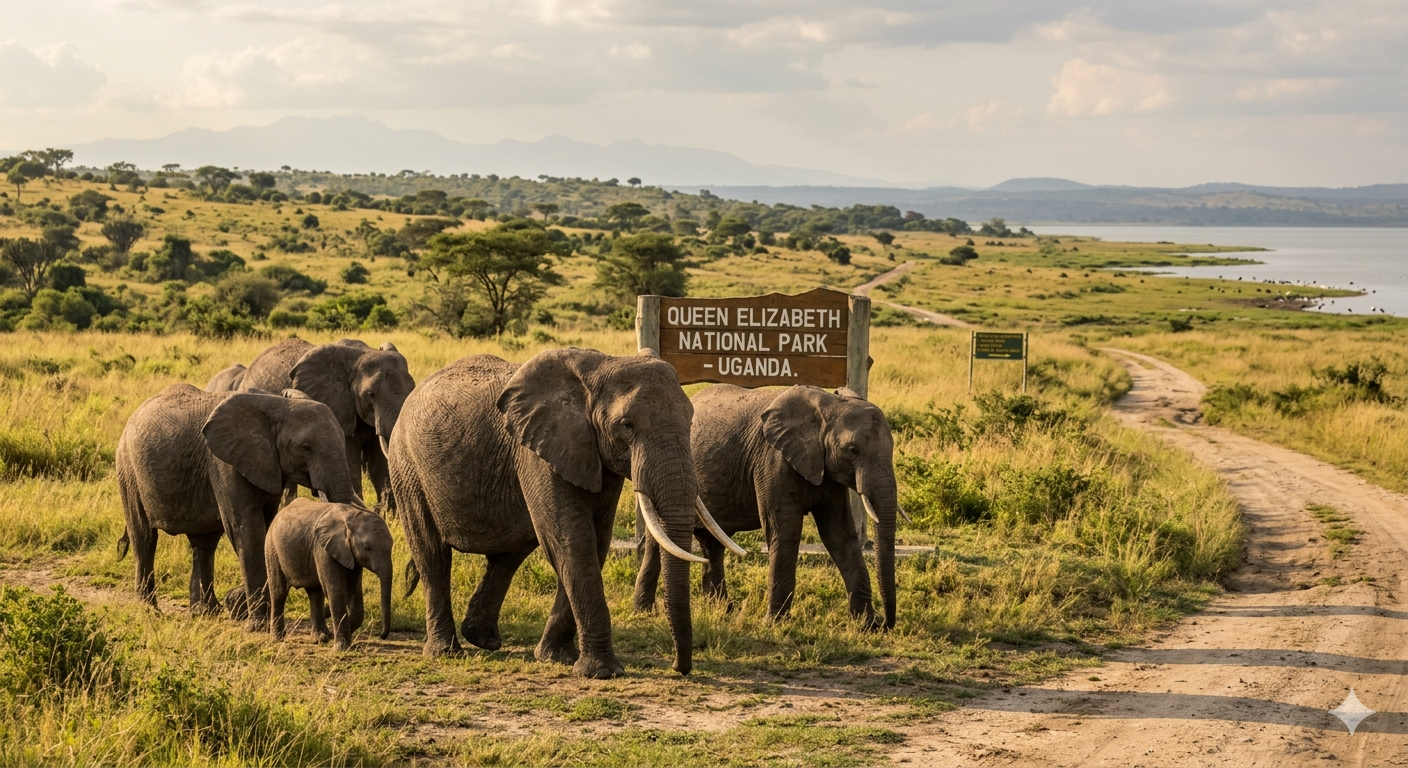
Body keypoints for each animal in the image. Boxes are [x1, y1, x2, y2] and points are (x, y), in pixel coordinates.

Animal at [115, 385, 361, 627]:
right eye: (306, 448)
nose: (232, 600)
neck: (279, 404)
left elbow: (265, 526)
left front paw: (240, 607)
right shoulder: (225, 463)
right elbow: (246, 529)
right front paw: (257, 624)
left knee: (204, 544)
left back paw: (206, 612)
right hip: (128, 468)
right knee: (144, 537)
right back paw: (150, 611)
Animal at [265, 499, 393, 650]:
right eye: (367, 548)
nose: (381, 636)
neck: (352, 516)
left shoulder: (351, 556)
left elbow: (353, 590)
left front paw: (334, 638)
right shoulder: (323, 549)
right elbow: (336, 590)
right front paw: (340, 648)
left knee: (315, 594)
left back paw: (320, 639)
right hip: (272, 548)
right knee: (279, 592)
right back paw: (278, 639)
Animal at [390, 348, 739, 678]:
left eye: (691, 420)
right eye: (626, 426)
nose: (678, 668)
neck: (600, 369)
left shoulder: (595, 455)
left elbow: (595, 542)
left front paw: (557, 658)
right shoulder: (538, 452)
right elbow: (572, 541)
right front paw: (602, 673)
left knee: (508, 556)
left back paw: (483, 639)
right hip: (406, 465)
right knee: (432, 553)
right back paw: (446, 652)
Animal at [634, 385, 899, 630]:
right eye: (853, 450)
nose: (886, 623)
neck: (829, 404)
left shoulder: (827, 471)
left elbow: (839, 535)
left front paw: (866, 625)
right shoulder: (771, 461)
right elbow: (785, 531)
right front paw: (774, 624)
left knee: (713, 544)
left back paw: (722, 610)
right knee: (660, 542)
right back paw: (644, 611)